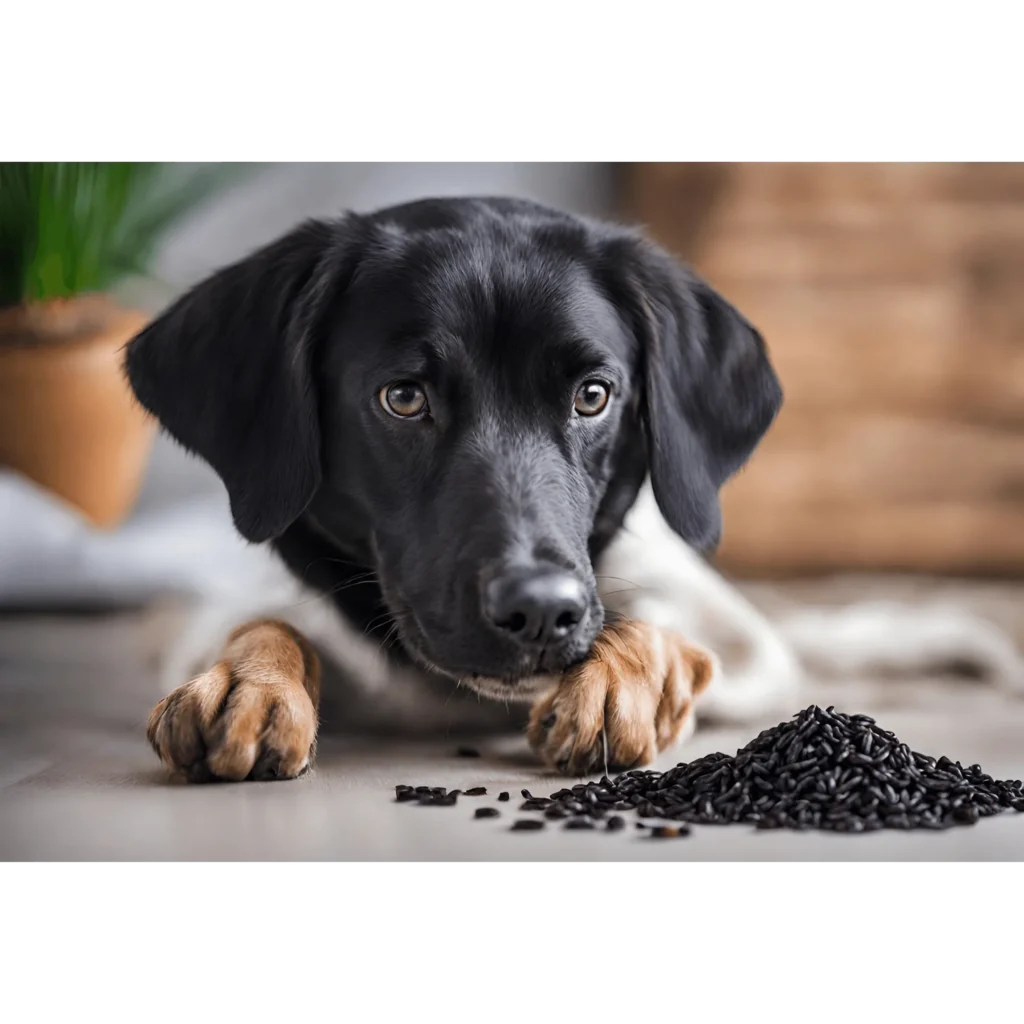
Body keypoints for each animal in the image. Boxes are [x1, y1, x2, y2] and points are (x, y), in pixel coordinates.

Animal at [125, 195, 782, 778]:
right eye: (403, 397)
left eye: (593, 395)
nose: (539, 610)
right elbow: (265, 622)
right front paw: (252, 683)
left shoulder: (740, 646)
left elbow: (663, 630)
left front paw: (616, 679)